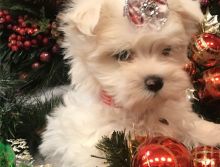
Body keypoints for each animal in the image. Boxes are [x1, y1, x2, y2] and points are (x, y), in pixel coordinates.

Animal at [39, 0, 220, 166]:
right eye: (123, 55)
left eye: (166, 50)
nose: (155, 82)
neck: (139, 110)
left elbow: (190, 125)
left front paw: (213, 133)